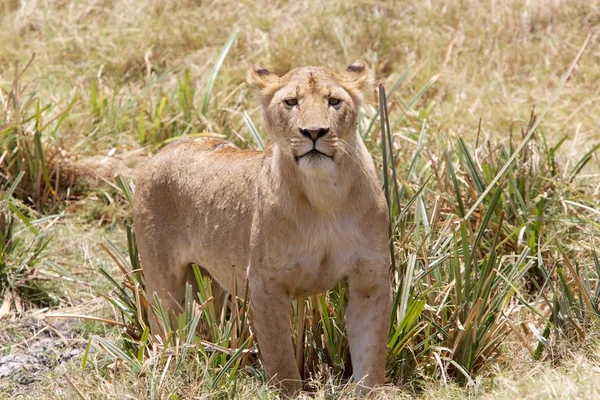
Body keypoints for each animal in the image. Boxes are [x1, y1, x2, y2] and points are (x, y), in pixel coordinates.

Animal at [133, 60, 392, 396]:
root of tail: (164, 150)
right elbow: (281, 358)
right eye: (291, 102)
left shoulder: (370, 281)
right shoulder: (265, 284)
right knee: (163, 325)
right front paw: (291, 393)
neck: (324, 196)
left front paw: (369, 391)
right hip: (163, 284)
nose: (314, 131)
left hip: (210, 283)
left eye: (334, 101)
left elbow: (370, 353)